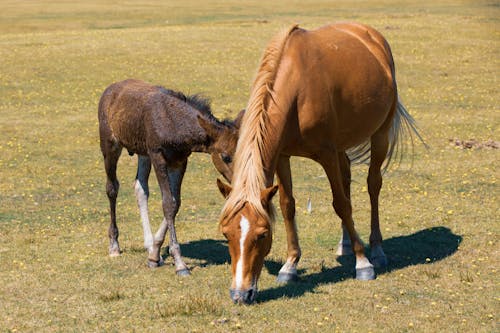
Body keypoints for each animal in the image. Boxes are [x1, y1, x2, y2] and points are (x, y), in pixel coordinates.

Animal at [97, 78, 242, 274]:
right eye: (226, 157)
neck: (175, 126)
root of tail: (109, 90)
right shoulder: (158, 155)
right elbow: (167, 203)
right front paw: (180, 263)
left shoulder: (179, 161)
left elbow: (175, 203)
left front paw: (154, 254)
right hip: (110, 144)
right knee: (112, 188)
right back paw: (114, 245)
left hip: (143, 152)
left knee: (140, 188)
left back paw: (148, 244)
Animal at [217, 22, 424, 304]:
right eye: (226, 234)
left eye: (262, 234)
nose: (240, 294)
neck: (296, 88)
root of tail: (371, 35)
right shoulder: (283, 156)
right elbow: (288, 206)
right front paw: (290, 265)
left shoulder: (326, 154)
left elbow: (341, 205)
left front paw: (363, 264)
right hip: (342, 145)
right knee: (347, 177)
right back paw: (345, 244)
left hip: (379, 134)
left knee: (373, 185)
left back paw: (376, 249)